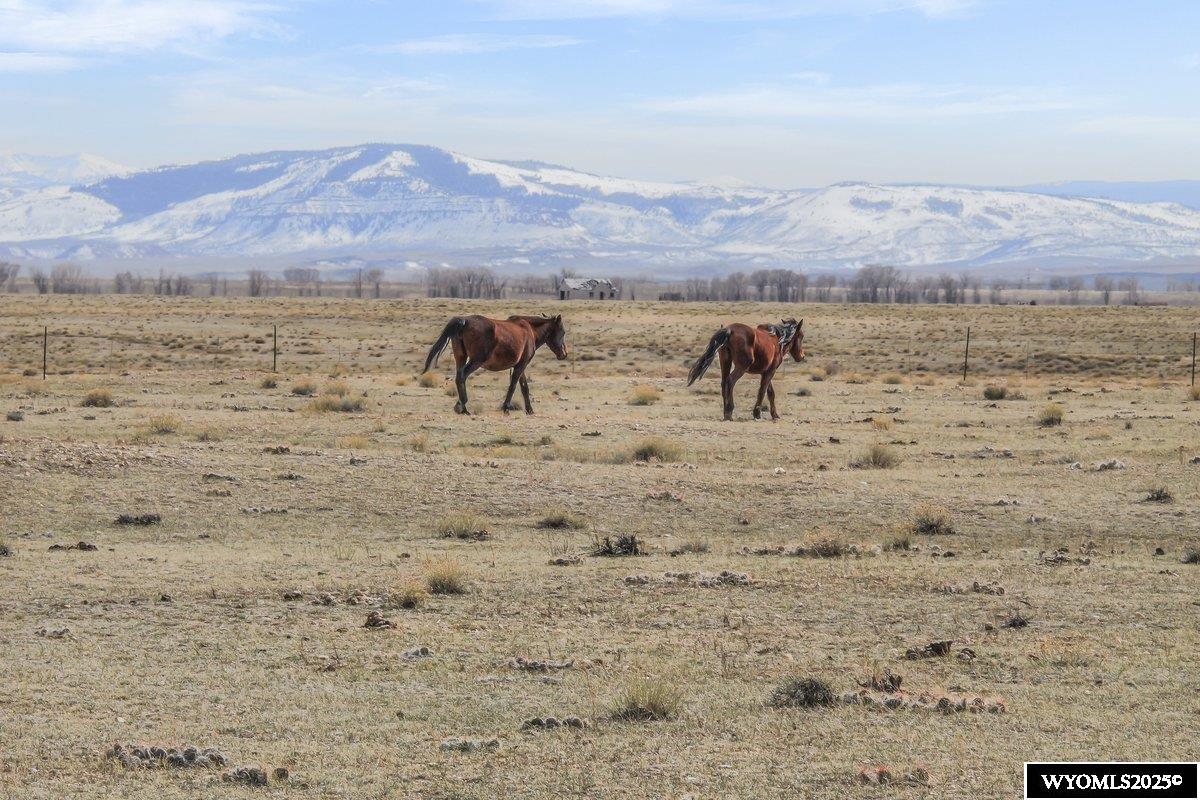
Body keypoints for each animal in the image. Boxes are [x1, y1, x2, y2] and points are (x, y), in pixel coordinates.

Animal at [422, 314, 568, 415]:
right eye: (563, 332)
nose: (564, 354)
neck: (530, 330)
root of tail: (464, 321)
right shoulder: (521, 365)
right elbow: (513, 385)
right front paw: (506, 407)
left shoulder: (520, 366)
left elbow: (524, 387)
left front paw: (529, 410)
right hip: (476, 361)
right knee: (462, 376)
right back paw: (462, 407)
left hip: (461, 358)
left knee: (459, 377)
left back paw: (461, 407)